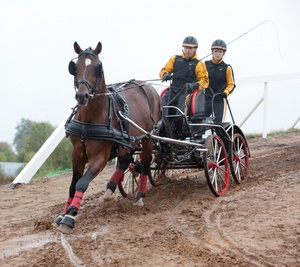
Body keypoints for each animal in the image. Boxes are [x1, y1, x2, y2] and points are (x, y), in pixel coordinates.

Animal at [54, 42, 162, 234]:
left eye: (98, 67)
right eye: (75, 67)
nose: (82, 96)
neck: (90, 118)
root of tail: (147, 86)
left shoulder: (100, 157)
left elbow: (82, 183)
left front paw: (70, 216)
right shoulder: (77, 154)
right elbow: (73, 185)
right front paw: (64, 213)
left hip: (148, 137)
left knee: (145, 164)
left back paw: (139, 196)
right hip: (127, 141)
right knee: (126, 161)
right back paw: (110, 192)